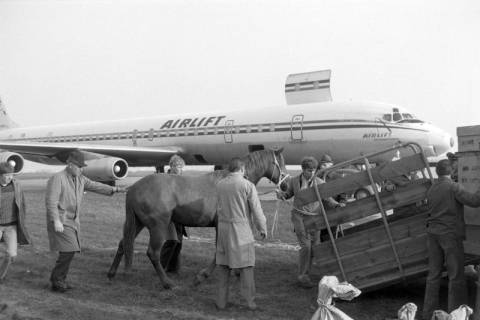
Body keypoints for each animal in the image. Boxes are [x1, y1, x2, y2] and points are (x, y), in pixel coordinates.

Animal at [108, 149, 288, 288]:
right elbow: (219, 251)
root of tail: (133, 188)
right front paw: (202, 276)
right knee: (153, 253)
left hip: (137, 223)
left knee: (123, 244)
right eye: (280, 162)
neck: (233, 181)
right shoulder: (221, 225)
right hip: (158, 227)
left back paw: (112, 273)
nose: (286, 186)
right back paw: (167, 283)